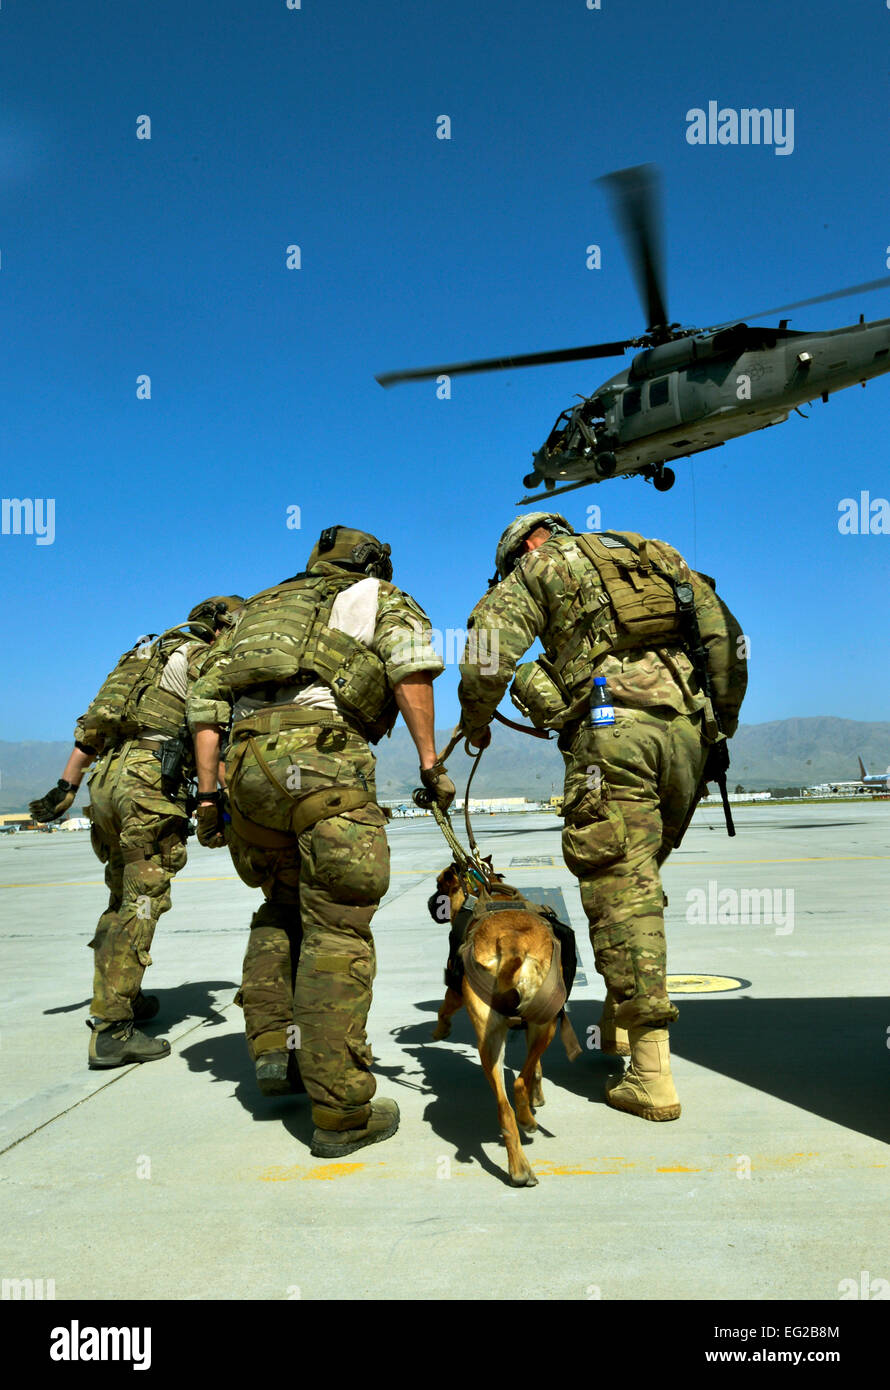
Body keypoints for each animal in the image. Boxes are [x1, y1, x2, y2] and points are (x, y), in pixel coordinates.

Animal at [428, 861, 581, 1189]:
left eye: (439, 885)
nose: (432, 903)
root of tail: (509, 944)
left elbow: (444, 1005)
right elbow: (444, 1008)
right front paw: (440, 1029)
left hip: (491, 1042)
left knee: (504, 1105)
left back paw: (519, 1166)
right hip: (545, 1026)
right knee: (518, 1084)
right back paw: (528, 1123)